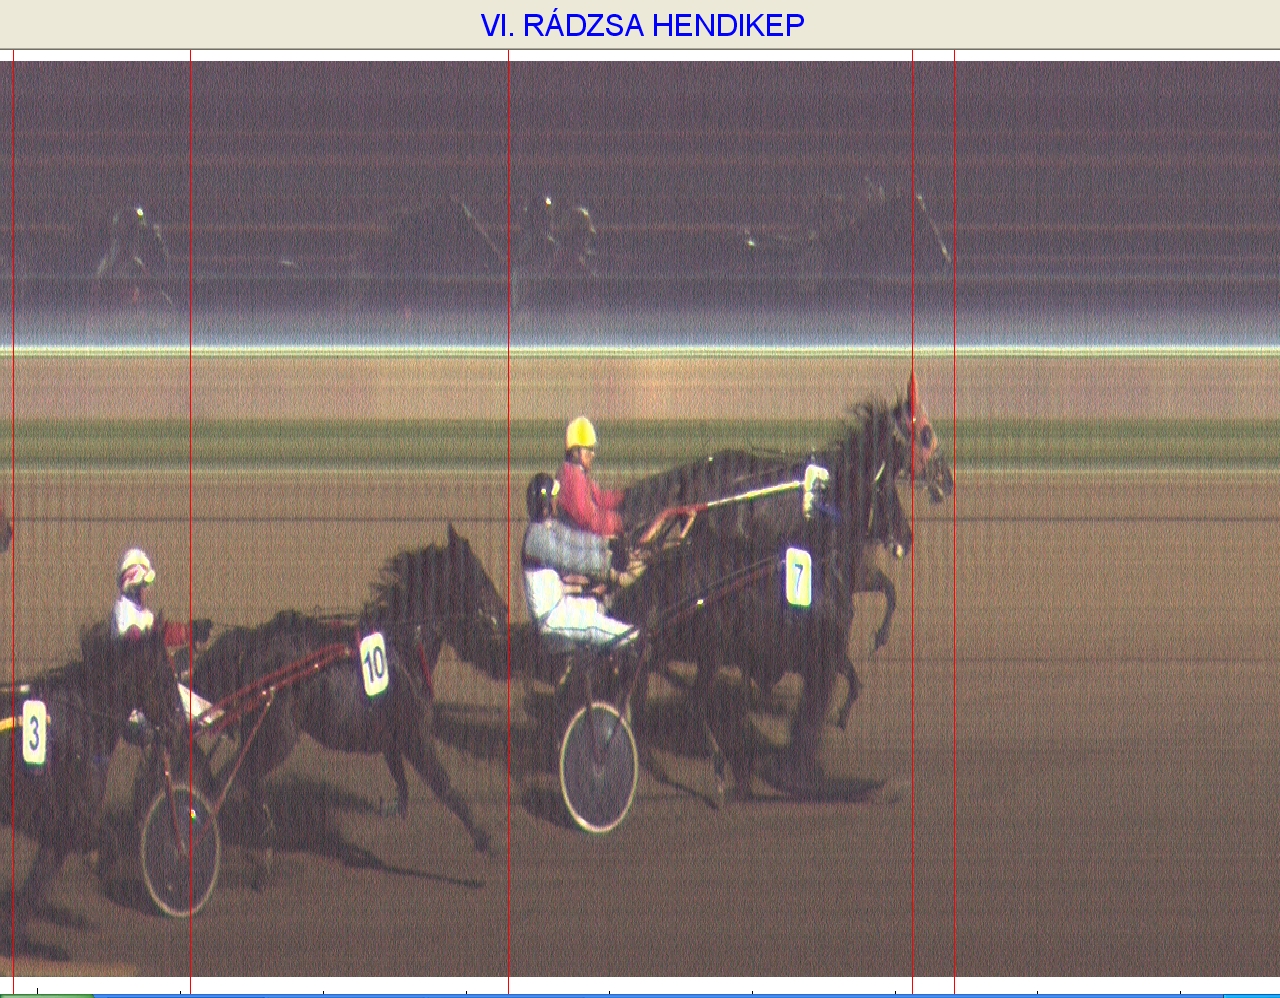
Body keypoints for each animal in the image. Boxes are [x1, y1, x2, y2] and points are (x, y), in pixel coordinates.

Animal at [0, 620, 179, 954]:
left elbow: (38, 883)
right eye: (165, 673)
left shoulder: (59, 826)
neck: (82, 720)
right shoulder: (57, 818)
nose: (177, 723)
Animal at [187, 525, 504, 859]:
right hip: (275, 737)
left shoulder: (393, 740)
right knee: (226, 785)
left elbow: (402, 784)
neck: (401, 646)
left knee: (241, 784)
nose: (504, 610)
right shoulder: (416, 739)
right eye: (480, 577)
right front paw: (487, 842)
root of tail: (252, 644)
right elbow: (448, 791)